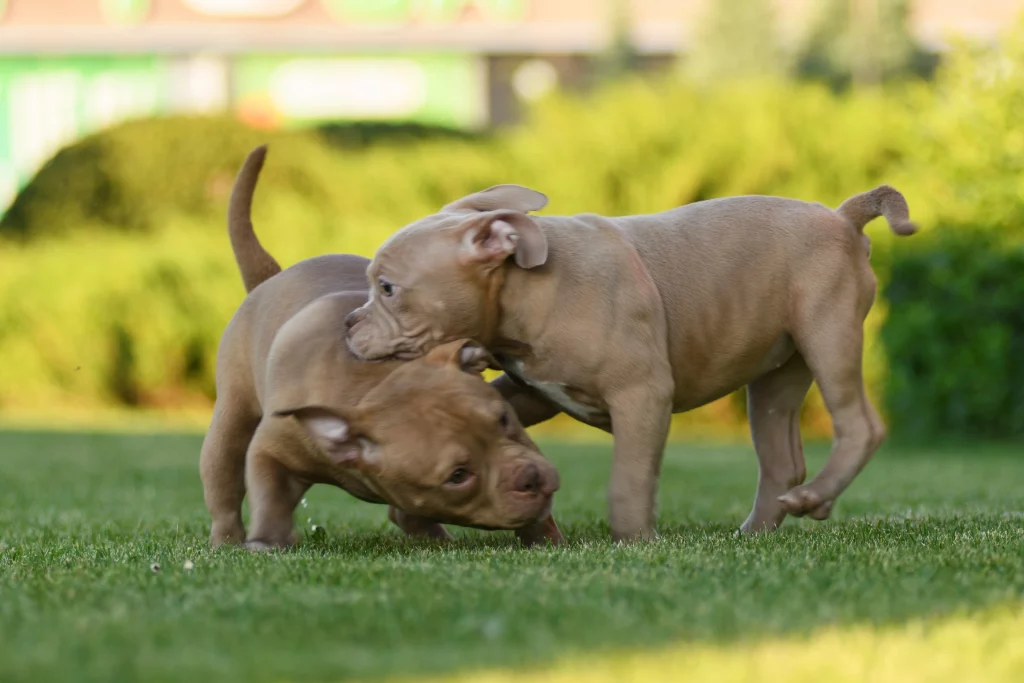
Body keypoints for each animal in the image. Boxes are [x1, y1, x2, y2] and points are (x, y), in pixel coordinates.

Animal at [197, 149, 561, 548]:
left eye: (505, 419)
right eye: (458, 475)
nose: (529, 478)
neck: (375, 384)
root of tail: (271, 277)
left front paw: (543, 537)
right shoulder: (270, 449)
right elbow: (269, 495)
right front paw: (266, 539)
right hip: (230, 423)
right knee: (224, 486)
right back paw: (227, 540)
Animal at [344, 183, 921, 544]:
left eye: (388, 288)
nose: (348, 323)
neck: (528, 285)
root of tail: (842, 218)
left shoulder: (641, 395)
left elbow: (628, 479)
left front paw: (635, 543)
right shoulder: (533, 389)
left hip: (828, 332)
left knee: (859, 425)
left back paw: (815, 498)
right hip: (777, 376)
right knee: (781, 460)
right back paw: (755, 533)